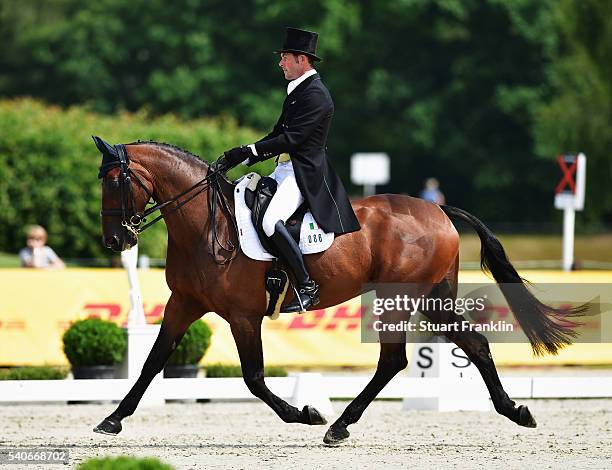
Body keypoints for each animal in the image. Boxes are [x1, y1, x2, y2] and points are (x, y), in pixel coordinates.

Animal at [91, 139, 580, 444]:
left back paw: (339, 425)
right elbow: (152, 362)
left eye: (115, 182)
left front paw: (305, 413)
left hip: (398, 299)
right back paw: (515, 410)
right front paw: (111, 420)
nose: (116, 241)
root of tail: (440, 209)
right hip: (432, 298)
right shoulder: (184, 304)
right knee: (473, 343)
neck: (204, 225)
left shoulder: (243, 316)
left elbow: (253, 378)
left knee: (394, 360)